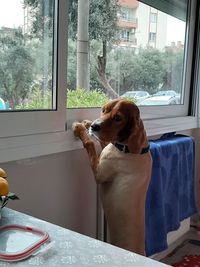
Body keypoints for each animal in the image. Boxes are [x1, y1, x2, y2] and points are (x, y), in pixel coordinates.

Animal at [72, 98, 152, 255]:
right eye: (103, 110)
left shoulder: (99, 173)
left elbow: (90, 143)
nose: (94, 126)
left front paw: (80, 129)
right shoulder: (108, 145)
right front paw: (86, 124)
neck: (132, 150)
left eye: (118, 118)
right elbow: (103, 141)